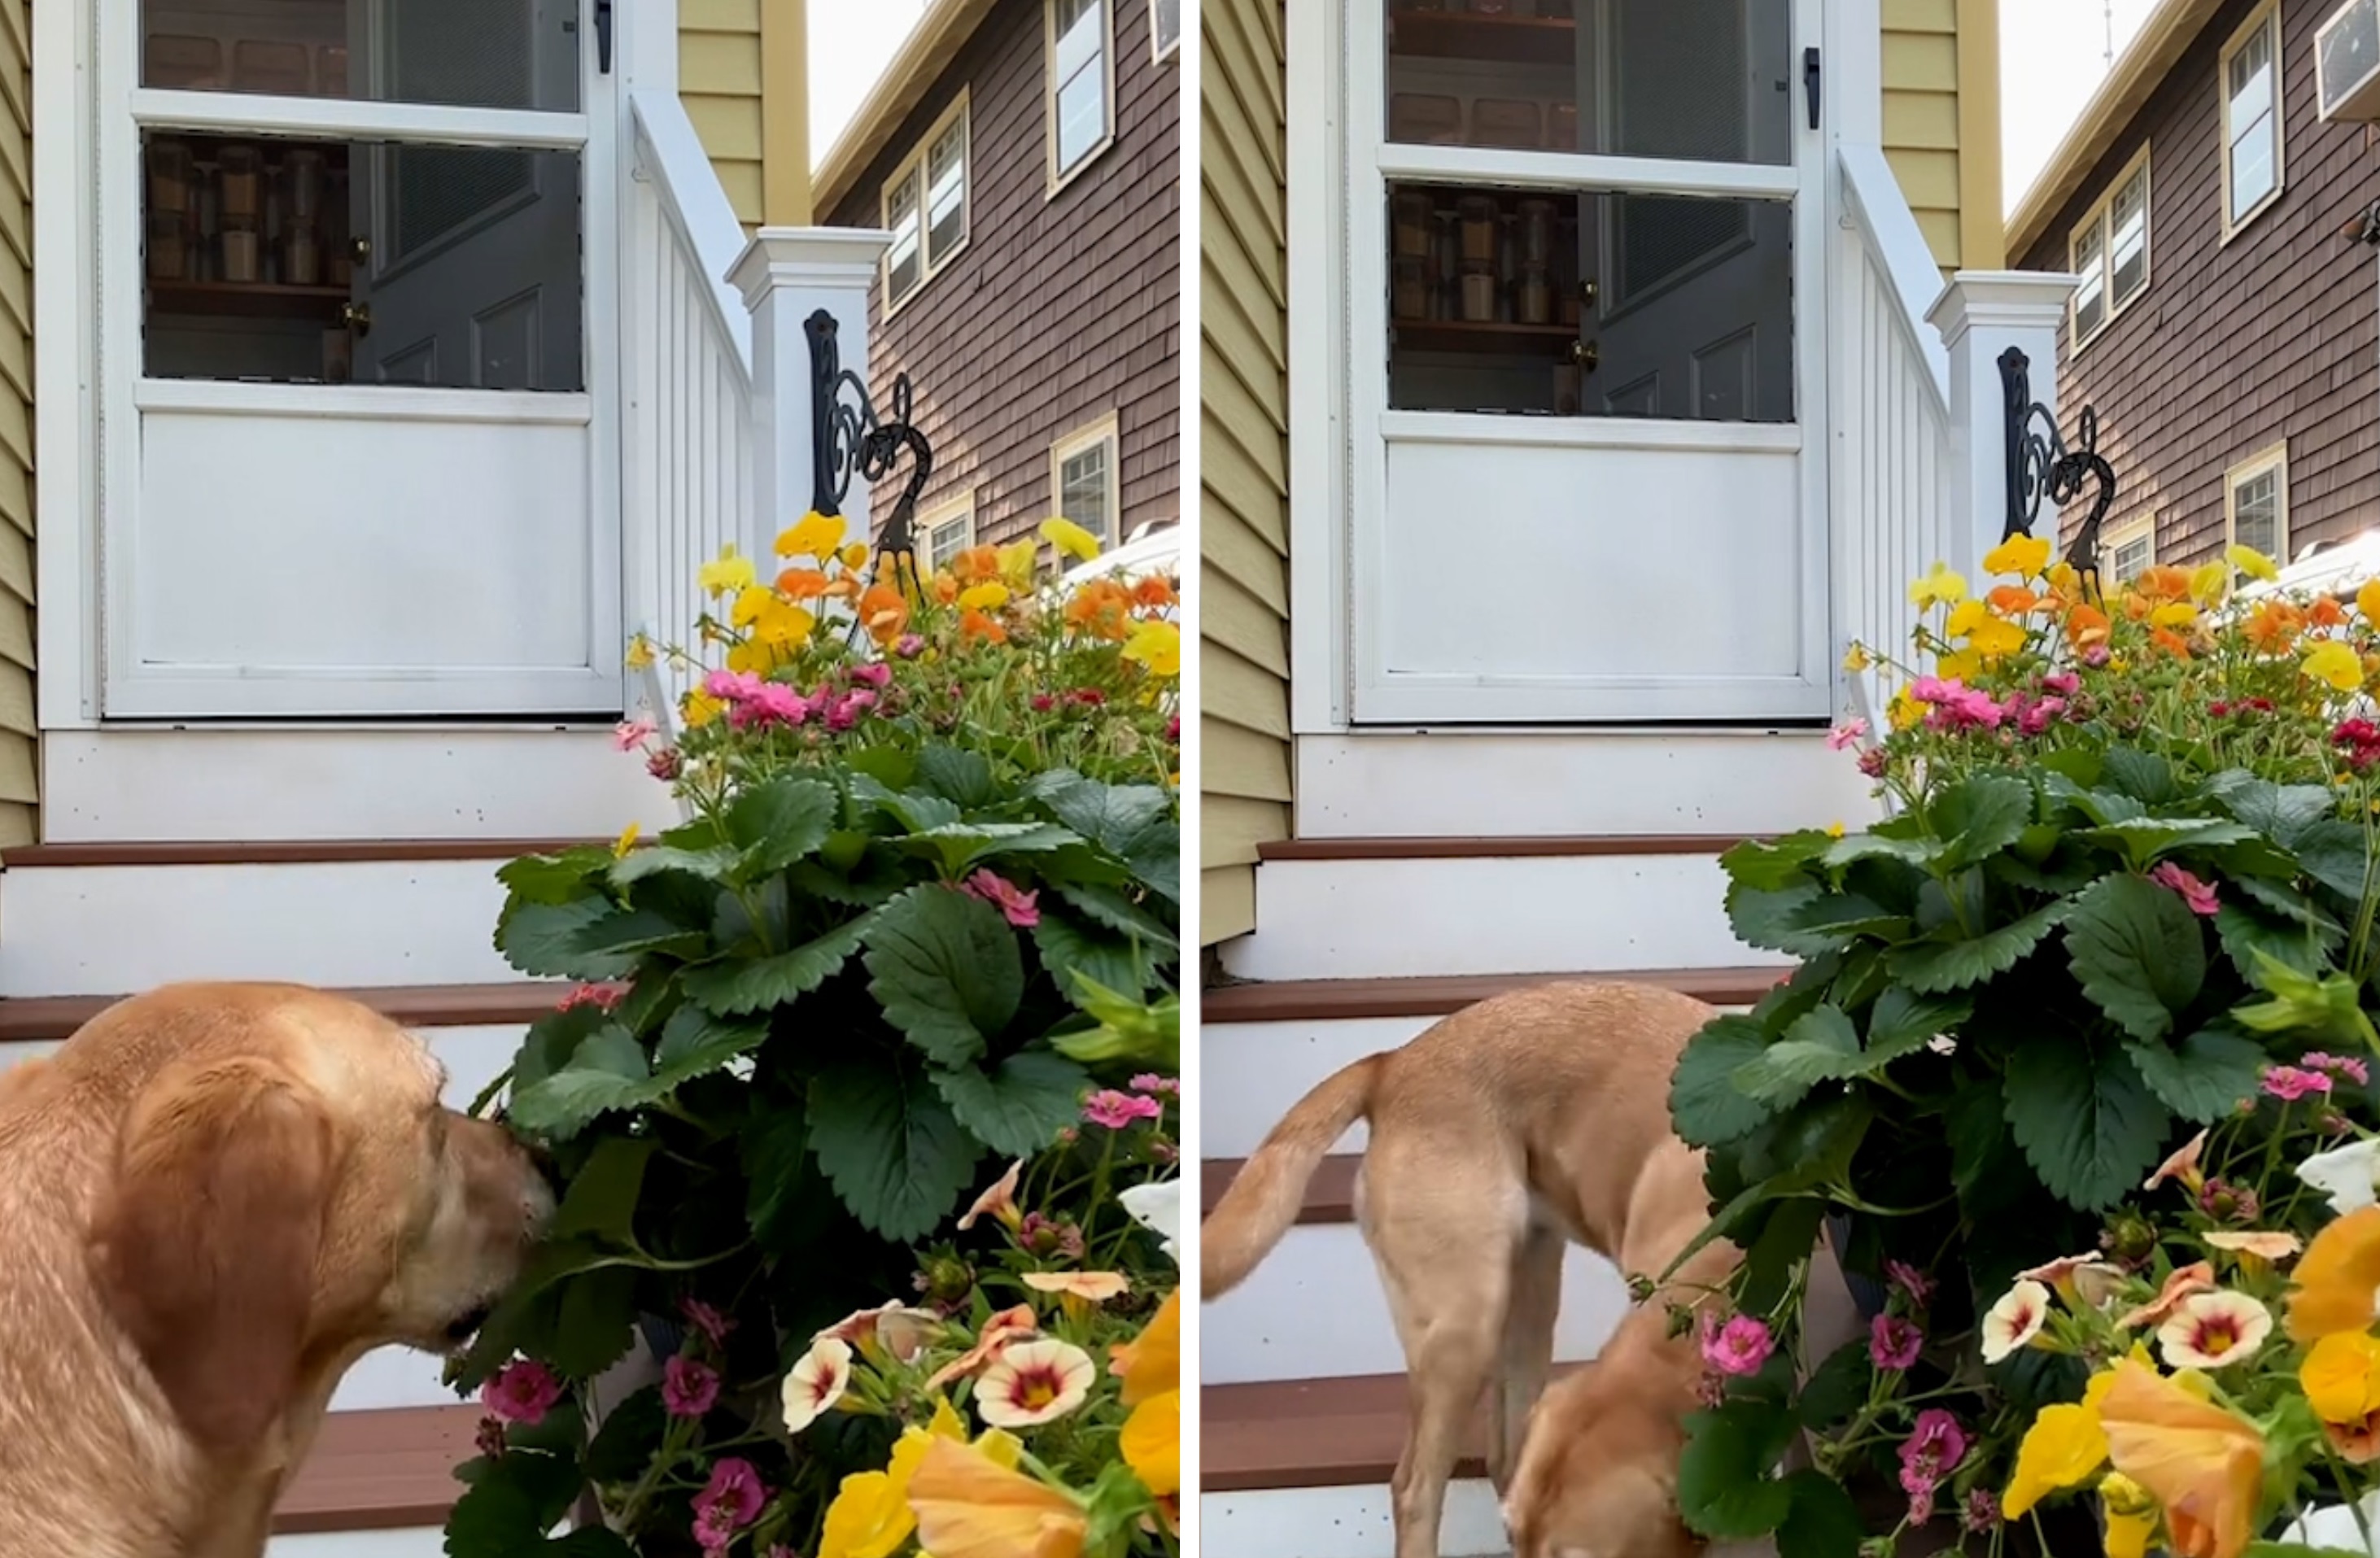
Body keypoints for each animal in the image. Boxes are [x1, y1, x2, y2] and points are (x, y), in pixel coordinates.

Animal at [1208, 989, 1732, 1558]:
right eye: (1514, 1538)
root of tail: (1394, 1063)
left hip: (1528, 1300)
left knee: (1503, 1453)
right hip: (1465, 1327)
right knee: (1414, 1488)